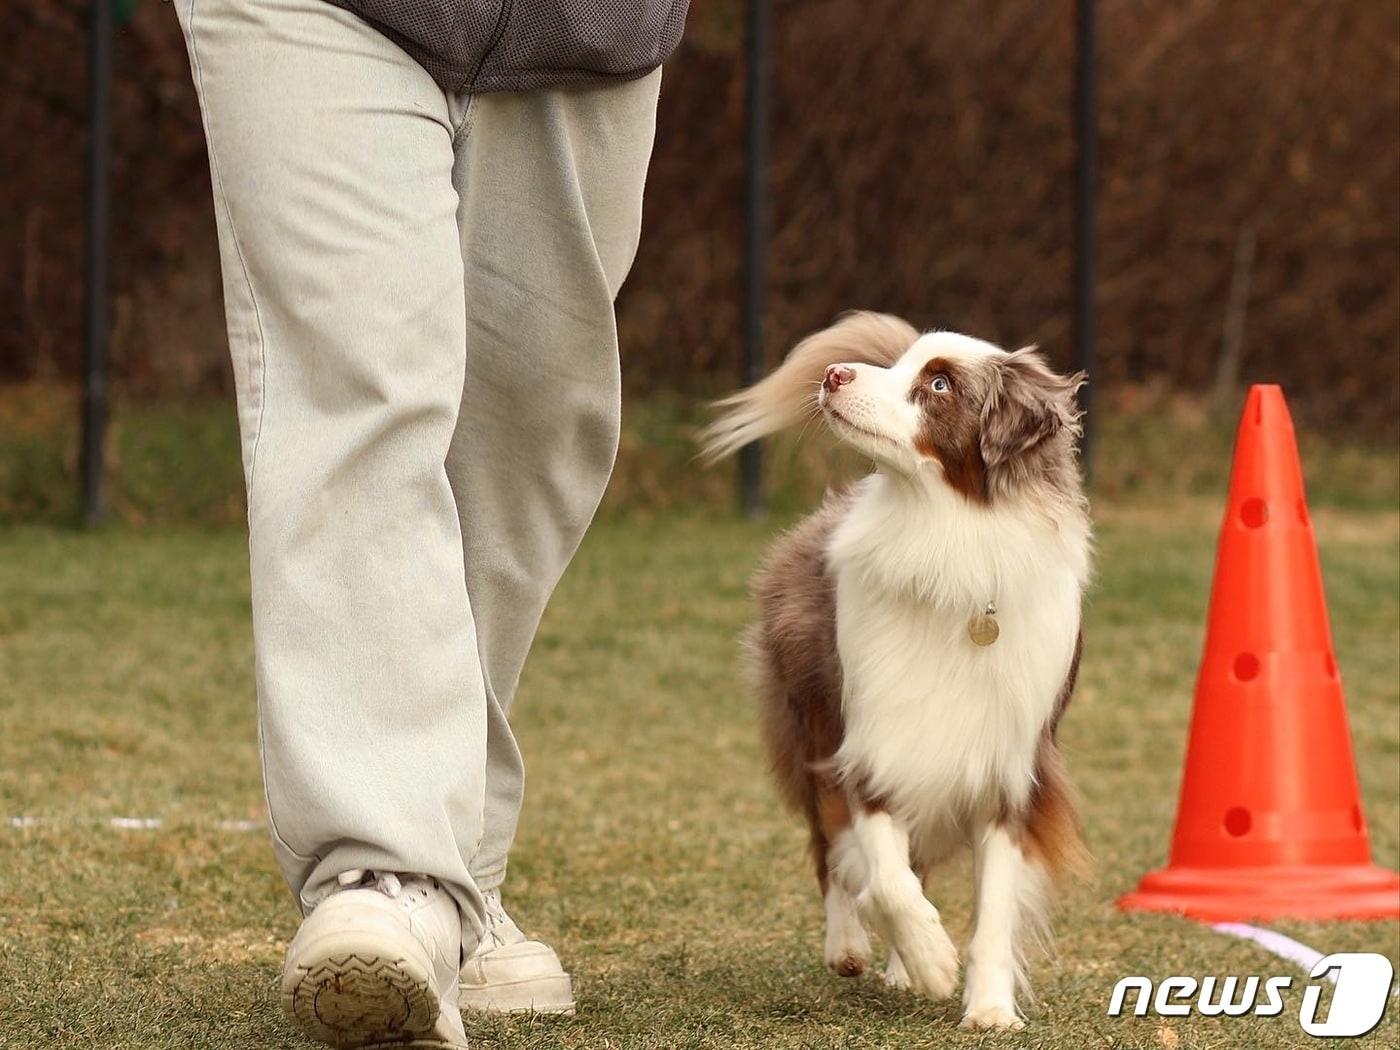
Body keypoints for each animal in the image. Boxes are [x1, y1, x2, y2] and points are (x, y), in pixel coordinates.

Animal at [700, 312, 1092, 1036]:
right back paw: (852, 945)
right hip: (808, 720)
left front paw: (988, 1007)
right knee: (829, 848)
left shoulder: (1010, 768)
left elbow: (994, 906)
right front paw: (932, 959)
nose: (835, 373)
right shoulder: (866, 741)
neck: (943, 537)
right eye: (903, 363)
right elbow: (881, 871)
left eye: (939, 384)